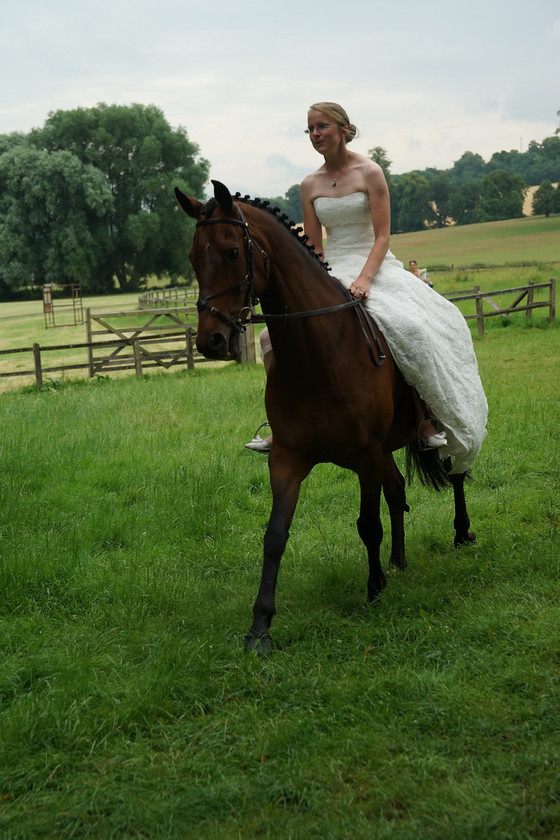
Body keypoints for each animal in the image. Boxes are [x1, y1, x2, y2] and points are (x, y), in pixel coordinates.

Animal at [175, 180, 472, 656]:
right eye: (191, 256)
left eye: (231, 252)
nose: (211, 341)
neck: (318, 351)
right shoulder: (289, 459)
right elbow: (275, 536)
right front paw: (260, 627)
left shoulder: (365, 455)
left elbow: (368, 525)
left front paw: (374, 590)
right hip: (383, 452)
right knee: (398, 491)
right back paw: (400, 561)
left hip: (444, 420)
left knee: (456, 471)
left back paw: (461, 533)